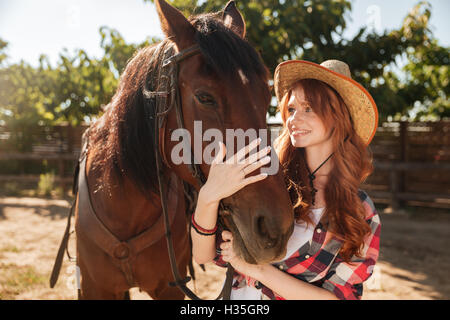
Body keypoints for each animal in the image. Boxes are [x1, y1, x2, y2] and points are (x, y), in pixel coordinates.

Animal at [68, 0, 292, 300]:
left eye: (265, 95)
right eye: (204, 97)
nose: (275, 227)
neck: (124, 209)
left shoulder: (168, 288)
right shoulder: (94, 288)